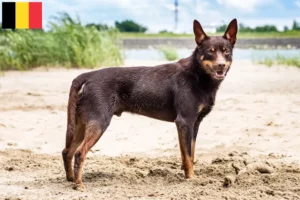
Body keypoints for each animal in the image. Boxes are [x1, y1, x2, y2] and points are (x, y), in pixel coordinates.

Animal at [62, 18, 238, 189]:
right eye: (210, 52)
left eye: (226, 51)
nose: (221, 65)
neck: (198, 74)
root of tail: (88, 76)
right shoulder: (185, 121)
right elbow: (188, 156)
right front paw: (191, 179)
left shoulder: (195, 123)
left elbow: (190, 153)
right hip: (99, 122)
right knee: (79, 153)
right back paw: (79, 184)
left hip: (81, 123)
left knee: (67, 151)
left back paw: (70, 179)